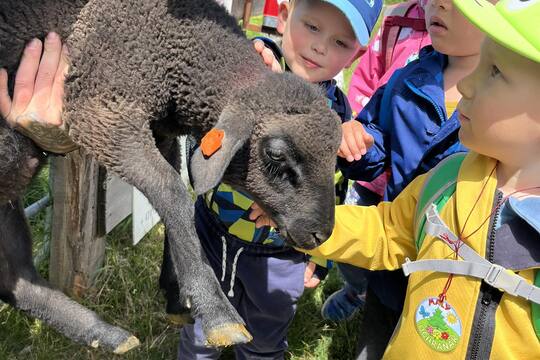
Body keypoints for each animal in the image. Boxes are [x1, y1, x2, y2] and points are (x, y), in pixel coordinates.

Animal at [0, 0, 342, 354]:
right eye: (275, 154)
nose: (321, 234)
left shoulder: (159, 132)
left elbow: (172, 199)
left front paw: (177, 293)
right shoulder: (101, 112)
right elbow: (173, 193)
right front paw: (216, 310)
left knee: (16, 280)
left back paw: (106, 336)